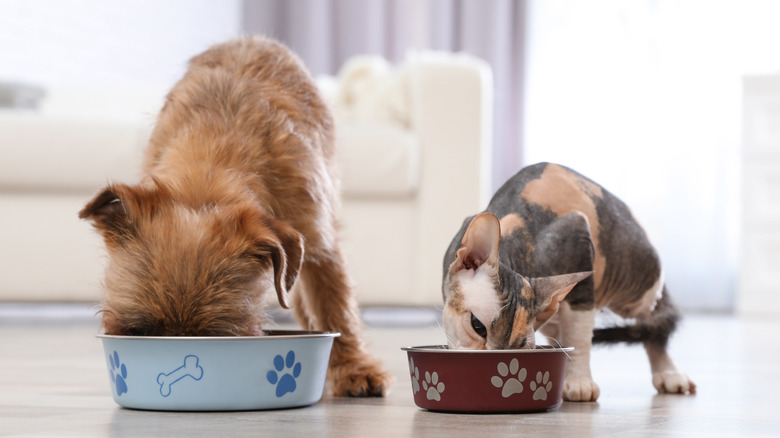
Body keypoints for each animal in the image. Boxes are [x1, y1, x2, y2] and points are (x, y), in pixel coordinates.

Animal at [80, 36, 390, 396]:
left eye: (215, 337)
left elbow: (335, 308)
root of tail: (253, 39)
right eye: (139, 332)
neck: (207, 179)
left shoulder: (319, 243)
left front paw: (355, 368)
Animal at [442, 162, 696, 400]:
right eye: (477, 326)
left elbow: (579, 337)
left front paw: (579, 382)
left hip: (640, 280)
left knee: (650, 320)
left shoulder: (579, 243)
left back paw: (668, 373)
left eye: (520, 347)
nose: (495, 362)